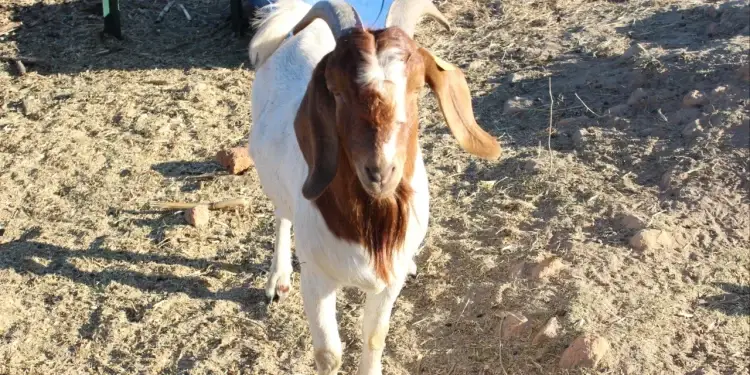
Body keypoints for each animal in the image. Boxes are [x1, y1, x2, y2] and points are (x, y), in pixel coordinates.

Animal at [250, 1, 502, 374]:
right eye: (335, 90)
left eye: (417, 88)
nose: (380, 171)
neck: (371, 228)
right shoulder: (317, 278)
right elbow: (328, 353)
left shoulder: (388, 284)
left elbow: (374, 336)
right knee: (282, 214)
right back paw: (277, 278)